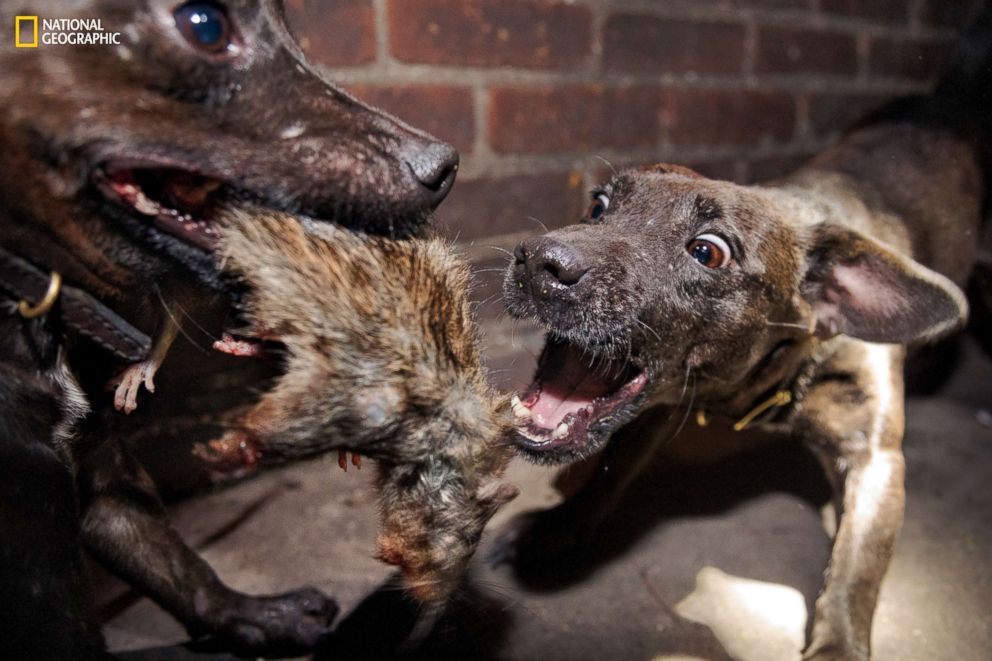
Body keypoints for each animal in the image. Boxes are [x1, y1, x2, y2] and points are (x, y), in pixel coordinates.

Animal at [500, 11, 992, 660]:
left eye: (708, 252)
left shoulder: (877, 460)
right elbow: (611, 469)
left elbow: (857, 570)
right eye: (599, 206)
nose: (538, 261)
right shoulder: (660, 407)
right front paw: (562, 526)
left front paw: (838, 644)